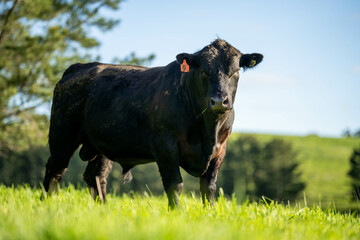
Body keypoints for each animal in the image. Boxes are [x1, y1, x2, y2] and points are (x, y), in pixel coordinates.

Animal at [43, 39, 262, 208]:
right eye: (203, 71)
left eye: (235, 71)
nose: (218, 101)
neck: (207, 130)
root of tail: (80, 66)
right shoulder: (165, 146)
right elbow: (175, 185)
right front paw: (176, 213)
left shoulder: (220, 150)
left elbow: (208, 187)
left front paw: (210, 213)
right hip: (62, 135)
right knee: (55, 170)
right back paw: (49, 206)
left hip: (101, 144)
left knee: (96, 176)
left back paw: (102, 209)